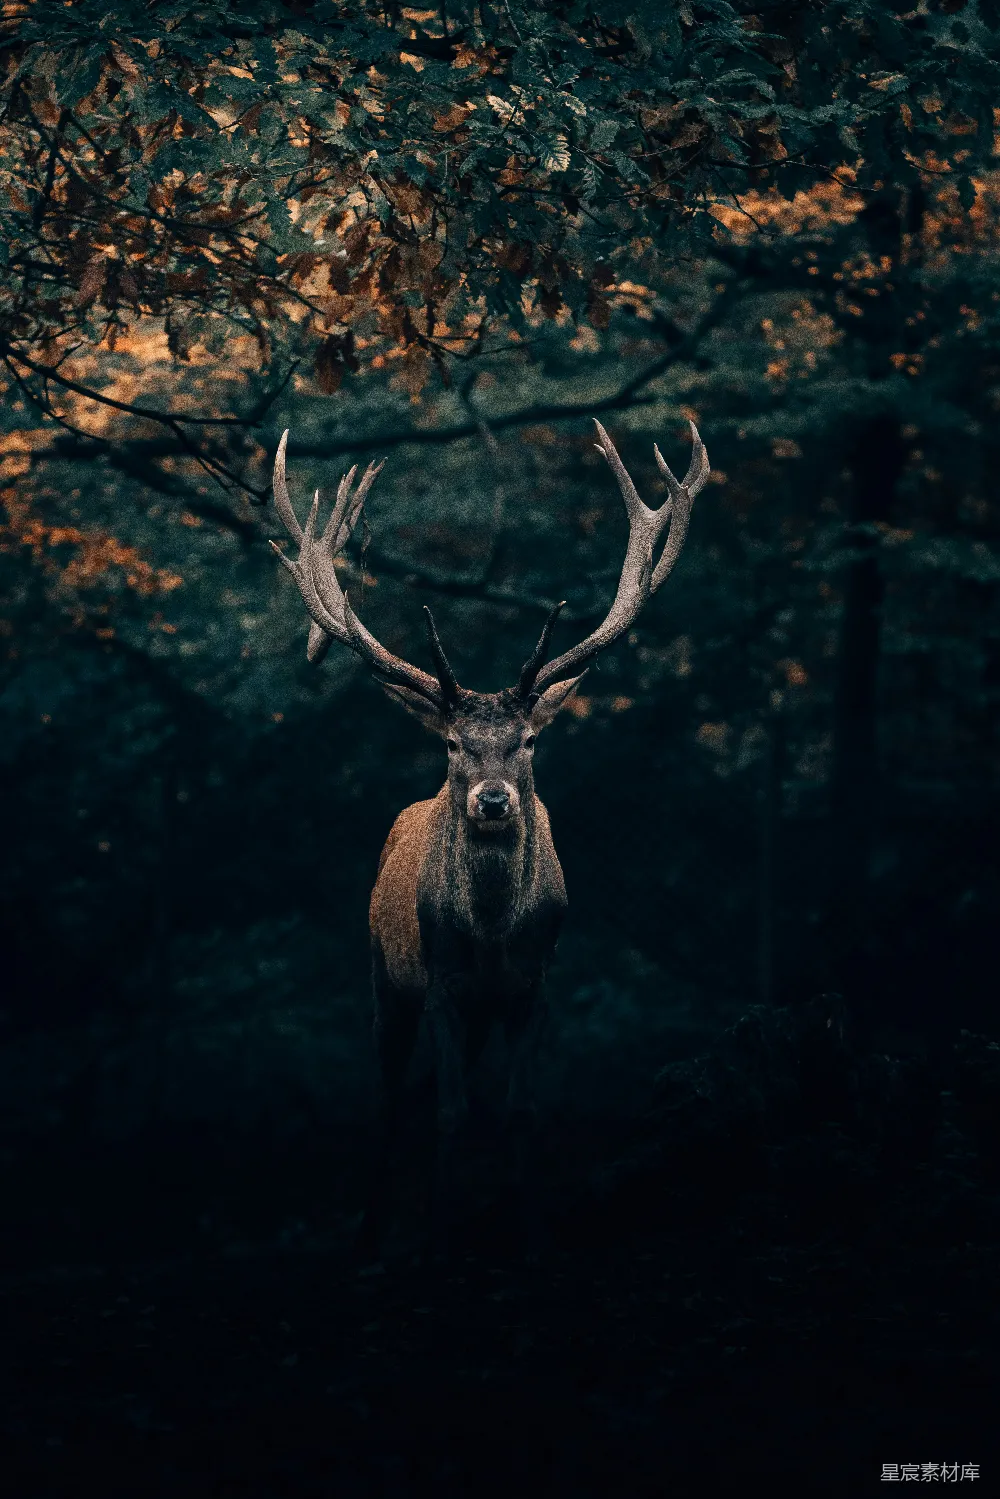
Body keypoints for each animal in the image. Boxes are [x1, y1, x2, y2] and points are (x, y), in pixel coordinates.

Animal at [270, 419, 709, 1259]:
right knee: (391, 1096)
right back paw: (371, 1232)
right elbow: (448, 1110)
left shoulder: (535, 986)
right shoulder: (443, 983)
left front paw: (529, 1231)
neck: (496, 933)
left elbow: (516, 1108)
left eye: (528, 741)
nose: (494, 799)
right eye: (452, 744)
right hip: (383, 977)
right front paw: (441, 1234)